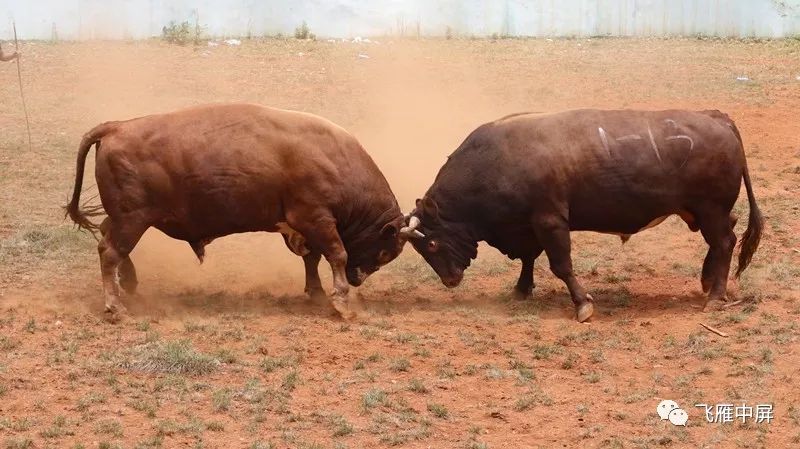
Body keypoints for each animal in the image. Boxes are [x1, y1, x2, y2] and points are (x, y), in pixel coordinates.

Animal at [65, 102, 416, 318]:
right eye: (386, 252)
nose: (357, 280)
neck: (335, 159)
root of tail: (116, 127)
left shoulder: (305, 226)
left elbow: (312, 258)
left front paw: (316, 292)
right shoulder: (316, 219)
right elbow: (336, 254)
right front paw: (341, 302)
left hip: (125, 219)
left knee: (108, 240)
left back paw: (129, 284)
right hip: (132, 220)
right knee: (110, 251)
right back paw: (115, 306)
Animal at [406, 108, 764, 320]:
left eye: (432, 244)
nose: (450, 280)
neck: (496, 162)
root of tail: (716, 117)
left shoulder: (550, 221)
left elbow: (561, 265)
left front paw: (582, 304)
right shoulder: (529, 226)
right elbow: (529, 258)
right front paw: (521, 289)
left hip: (710, 210)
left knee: (724, 242)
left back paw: (715, 296)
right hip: (705, 212)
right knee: (724, 237)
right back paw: (707, 280)